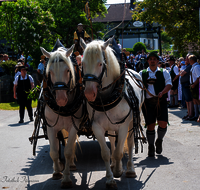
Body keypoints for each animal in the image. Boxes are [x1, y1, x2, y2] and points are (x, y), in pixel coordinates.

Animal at [40, 45, 82, 189]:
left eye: (68, 70)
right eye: (49, 72)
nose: (61, 99)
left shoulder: (74, 126)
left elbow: (68, 151)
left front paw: (67, 178)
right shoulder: (51, 127)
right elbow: (54, 151)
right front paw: (57, 172)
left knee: (71, 144)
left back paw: (72, 165)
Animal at [79, 37, 144, 189]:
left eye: (100, 63)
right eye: (82, 64)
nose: (89, 93)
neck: (108, 98)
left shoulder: (123, 125)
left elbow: (119, 151)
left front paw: (119, 171)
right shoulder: (97, 127)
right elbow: (106, 153)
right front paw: (110, 178)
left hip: (132, 122)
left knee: (130, 143)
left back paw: (130, 169)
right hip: (111, 126)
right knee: (113, 142)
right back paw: (114, 165)